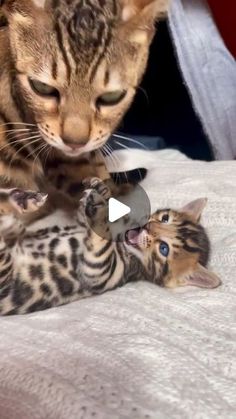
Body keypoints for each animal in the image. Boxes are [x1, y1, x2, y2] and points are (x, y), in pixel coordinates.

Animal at [0, 178, 220, 316]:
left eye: (164, 249)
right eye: (165, 218)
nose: (147, 226)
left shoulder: (102, 272)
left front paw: (101, 209)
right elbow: (86, 216)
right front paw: (99, 189)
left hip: (5, 276)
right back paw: (21, 202)